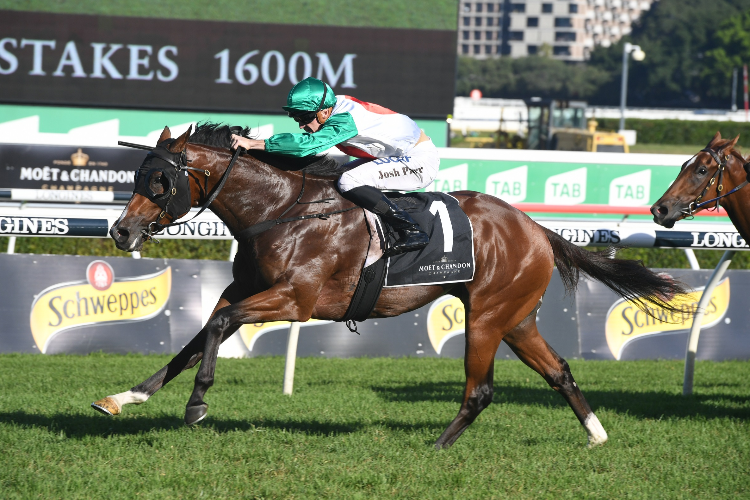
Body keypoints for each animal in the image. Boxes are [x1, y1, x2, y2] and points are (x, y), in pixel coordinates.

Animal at [94, 124, 688, 450]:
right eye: (137, 175)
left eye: (159, 180)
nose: (120, 231)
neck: (281, 211)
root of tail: (537, 228)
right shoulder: (240, 291)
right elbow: (195, 340)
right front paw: (124, 397)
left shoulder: (295, 300)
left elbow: (216, 328)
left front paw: (197, 405)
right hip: (516, 317)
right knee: (559, 371)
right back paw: (596, 433)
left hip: (487, 316)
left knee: (480, 390)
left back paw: (437, 445)